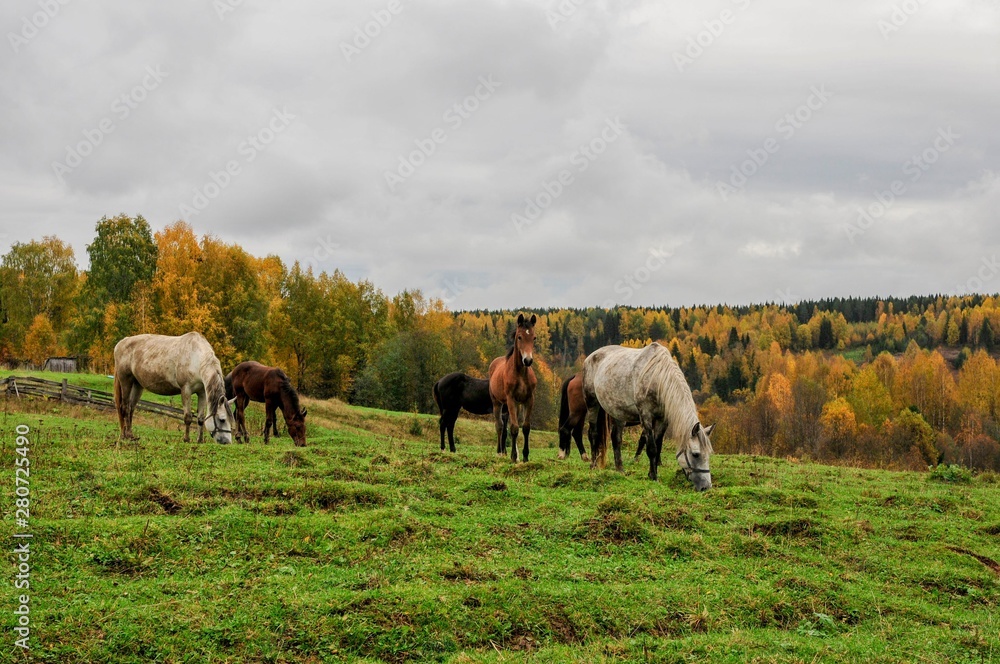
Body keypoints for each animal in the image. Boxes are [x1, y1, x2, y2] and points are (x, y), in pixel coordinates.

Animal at [489, 313, 538, 462]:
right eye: (519, 337)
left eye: (534, 337)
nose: (527, 360)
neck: (521, 373)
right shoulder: (510, 399)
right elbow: (514, 428)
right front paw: (514, 457)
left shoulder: (529, 399)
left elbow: (525, 427)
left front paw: (525, 456)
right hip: (497, 403)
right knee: (499, 426)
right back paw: (500, 452)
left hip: (517, 405)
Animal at [583, 342, 715, 490]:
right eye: (695, 454)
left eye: (708, 454)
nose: (706, 486)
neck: (658, 379)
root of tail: (591, 357)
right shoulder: (646, 416)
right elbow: (652, 448)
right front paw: (653, 477)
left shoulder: (662, 420)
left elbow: (658, 446)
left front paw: (653, 472)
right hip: (592, 403)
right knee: (593, 434)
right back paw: (593, 465)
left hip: (617, 412)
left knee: (616, 438)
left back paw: (620, 469)